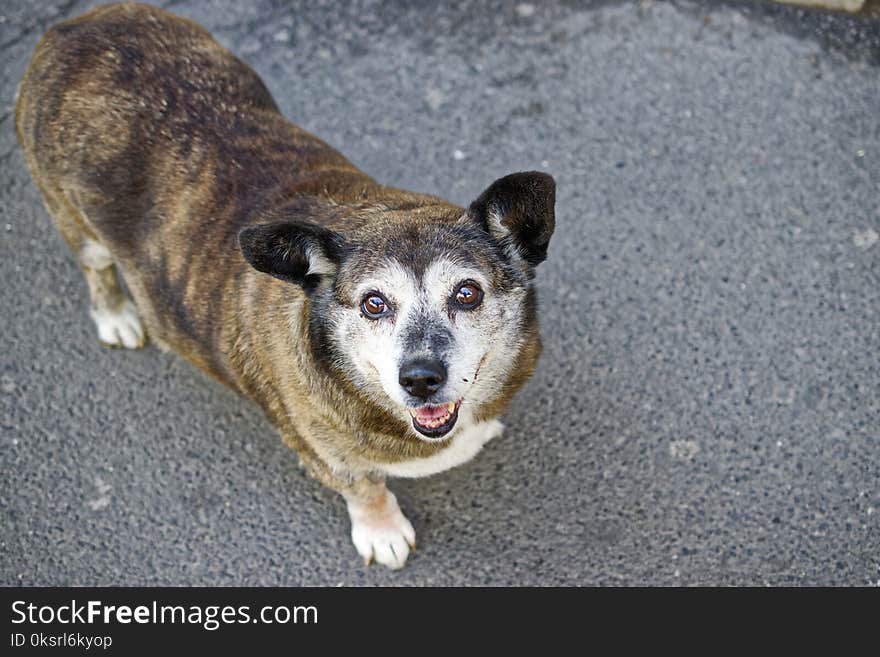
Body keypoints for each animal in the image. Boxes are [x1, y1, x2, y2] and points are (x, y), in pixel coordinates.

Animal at [15, 1, 556, 568]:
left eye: (468, 293)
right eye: (374, 303)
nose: (421, 379)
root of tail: (75, 25)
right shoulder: (320, 452)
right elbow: (364, 487)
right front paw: (382, 531)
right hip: (73, 218)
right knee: (95, 267)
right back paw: (117, 316)